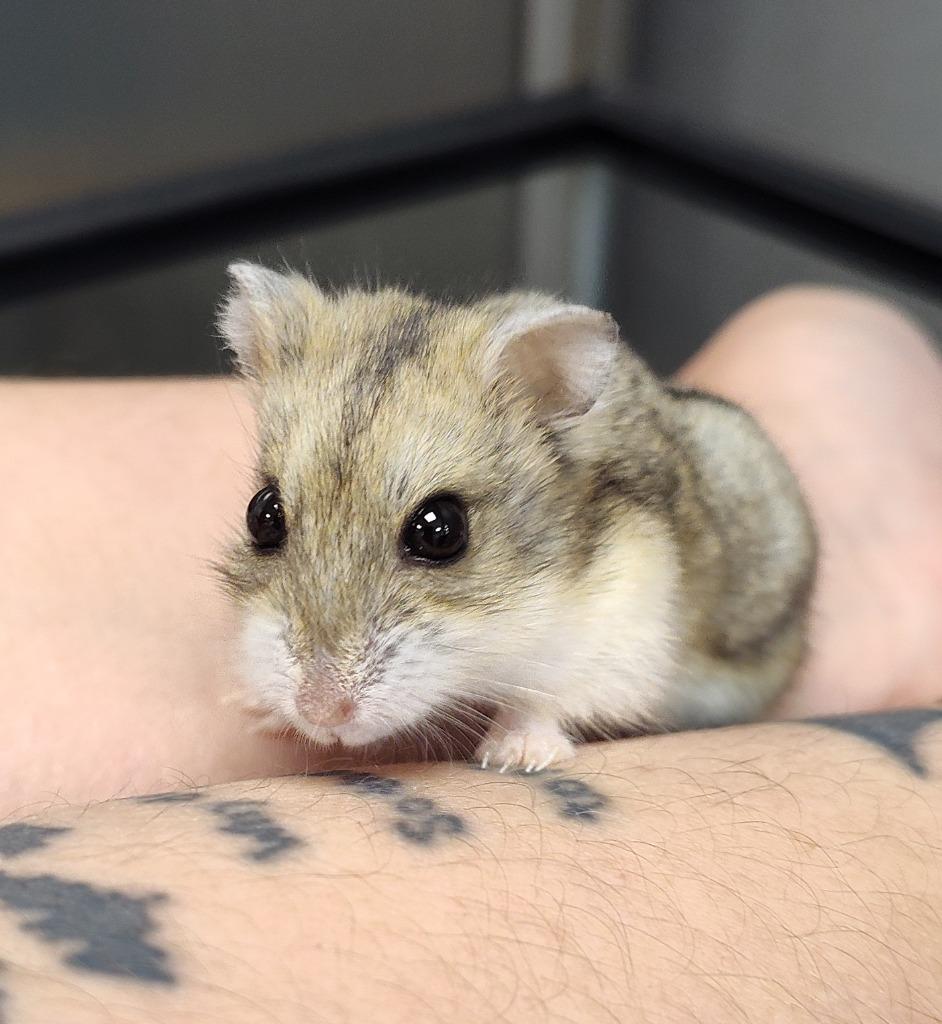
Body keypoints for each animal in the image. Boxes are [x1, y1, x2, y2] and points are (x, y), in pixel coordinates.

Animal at [217, 262, 816, 772]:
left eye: (441, 530)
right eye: (262, 513)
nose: (321, 715)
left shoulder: (622, 635)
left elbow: (547, 700)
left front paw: (515, 755)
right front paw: (254, 710)